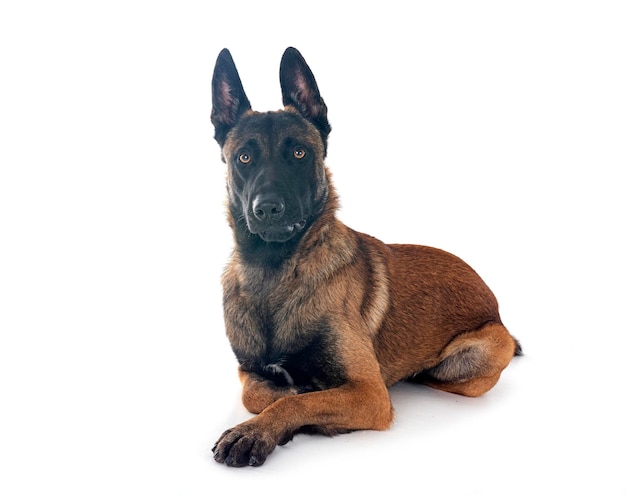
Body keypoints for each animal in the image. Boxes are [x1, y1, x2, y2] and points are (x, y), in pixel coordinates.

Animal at [207, 47, 520, 468]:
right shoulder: (250, 373)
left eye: (299, 153)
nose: (268, 208)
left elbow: (297, 402)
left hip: (476, 356)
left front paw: (259, 431)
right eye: (243, 158)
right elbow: (261, 394)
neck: (274, 272)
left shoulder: (370, 394)